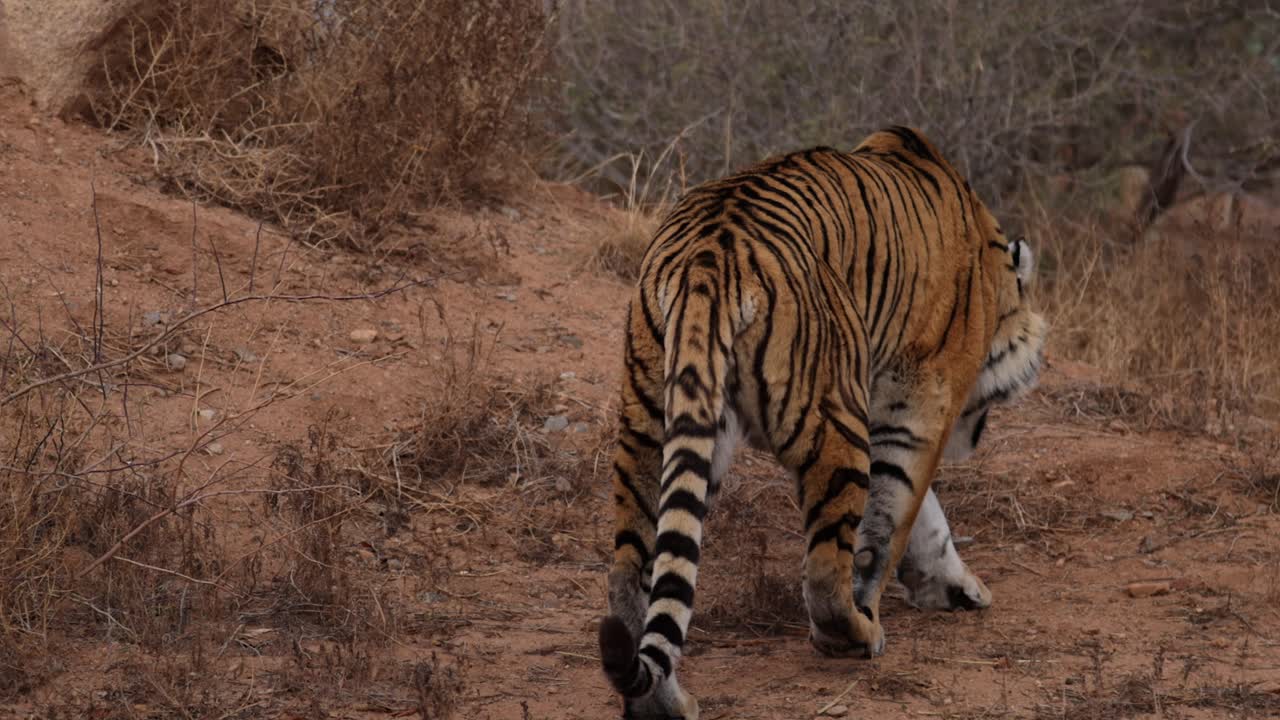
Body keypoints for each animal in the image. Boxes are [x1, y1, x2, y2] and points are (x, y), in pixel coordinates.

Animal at [597, 126, 1047, 719]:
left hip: (650, 425)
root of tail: (707, 258)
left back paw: (664, 703)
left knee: (634, 576)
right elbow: (896, 516)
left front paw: (954, 586)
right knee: (824, 573)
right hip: (834, 423)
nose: (977, 436)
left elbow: (924, 516)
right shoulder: (919, 405)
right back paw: (857, 633)